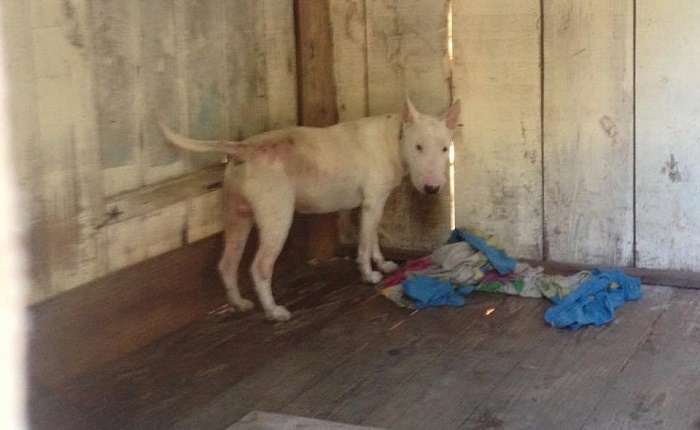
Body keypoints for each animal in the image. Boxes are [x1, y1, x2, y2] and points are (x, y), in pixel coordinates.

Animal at [161, 96, 462, 320]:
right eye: (418, 147)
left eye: (445, 149)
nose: (432, 189)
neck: (395, 137)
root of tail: (245, 148)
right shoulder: (372, 202)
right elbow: (364, 245)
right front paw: (369, 275)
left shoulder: (373, 205)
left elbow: (372, 237)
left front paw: (384, 264)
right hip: (277, 218)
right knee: (260, 266)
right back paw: (273, 311)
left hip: (237, 215)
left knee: (227, 262)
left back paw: (239, 304)